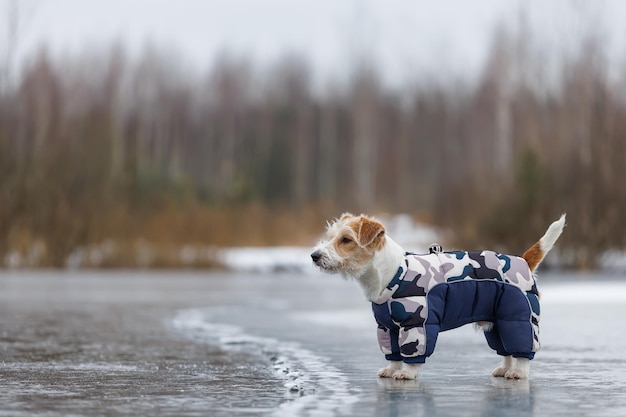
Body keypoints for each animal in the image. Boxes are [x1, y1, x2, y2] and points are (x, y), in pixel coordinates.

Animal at [312, 213, 564, 378]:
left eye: (346, 240)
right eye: (330, 236)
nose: (314, 255)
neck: (395, 273)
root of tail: (522, 261)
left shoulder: (417, 324)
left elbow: (412, 352)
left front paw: (407, 373)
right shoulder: (387, 328)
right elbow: (393, 353)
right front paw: (392, 370)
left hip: (519, 316)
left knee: (523, 349)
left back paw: (518, 372)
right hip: (498, 323)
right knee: (506, 350)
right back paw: (505, 369)